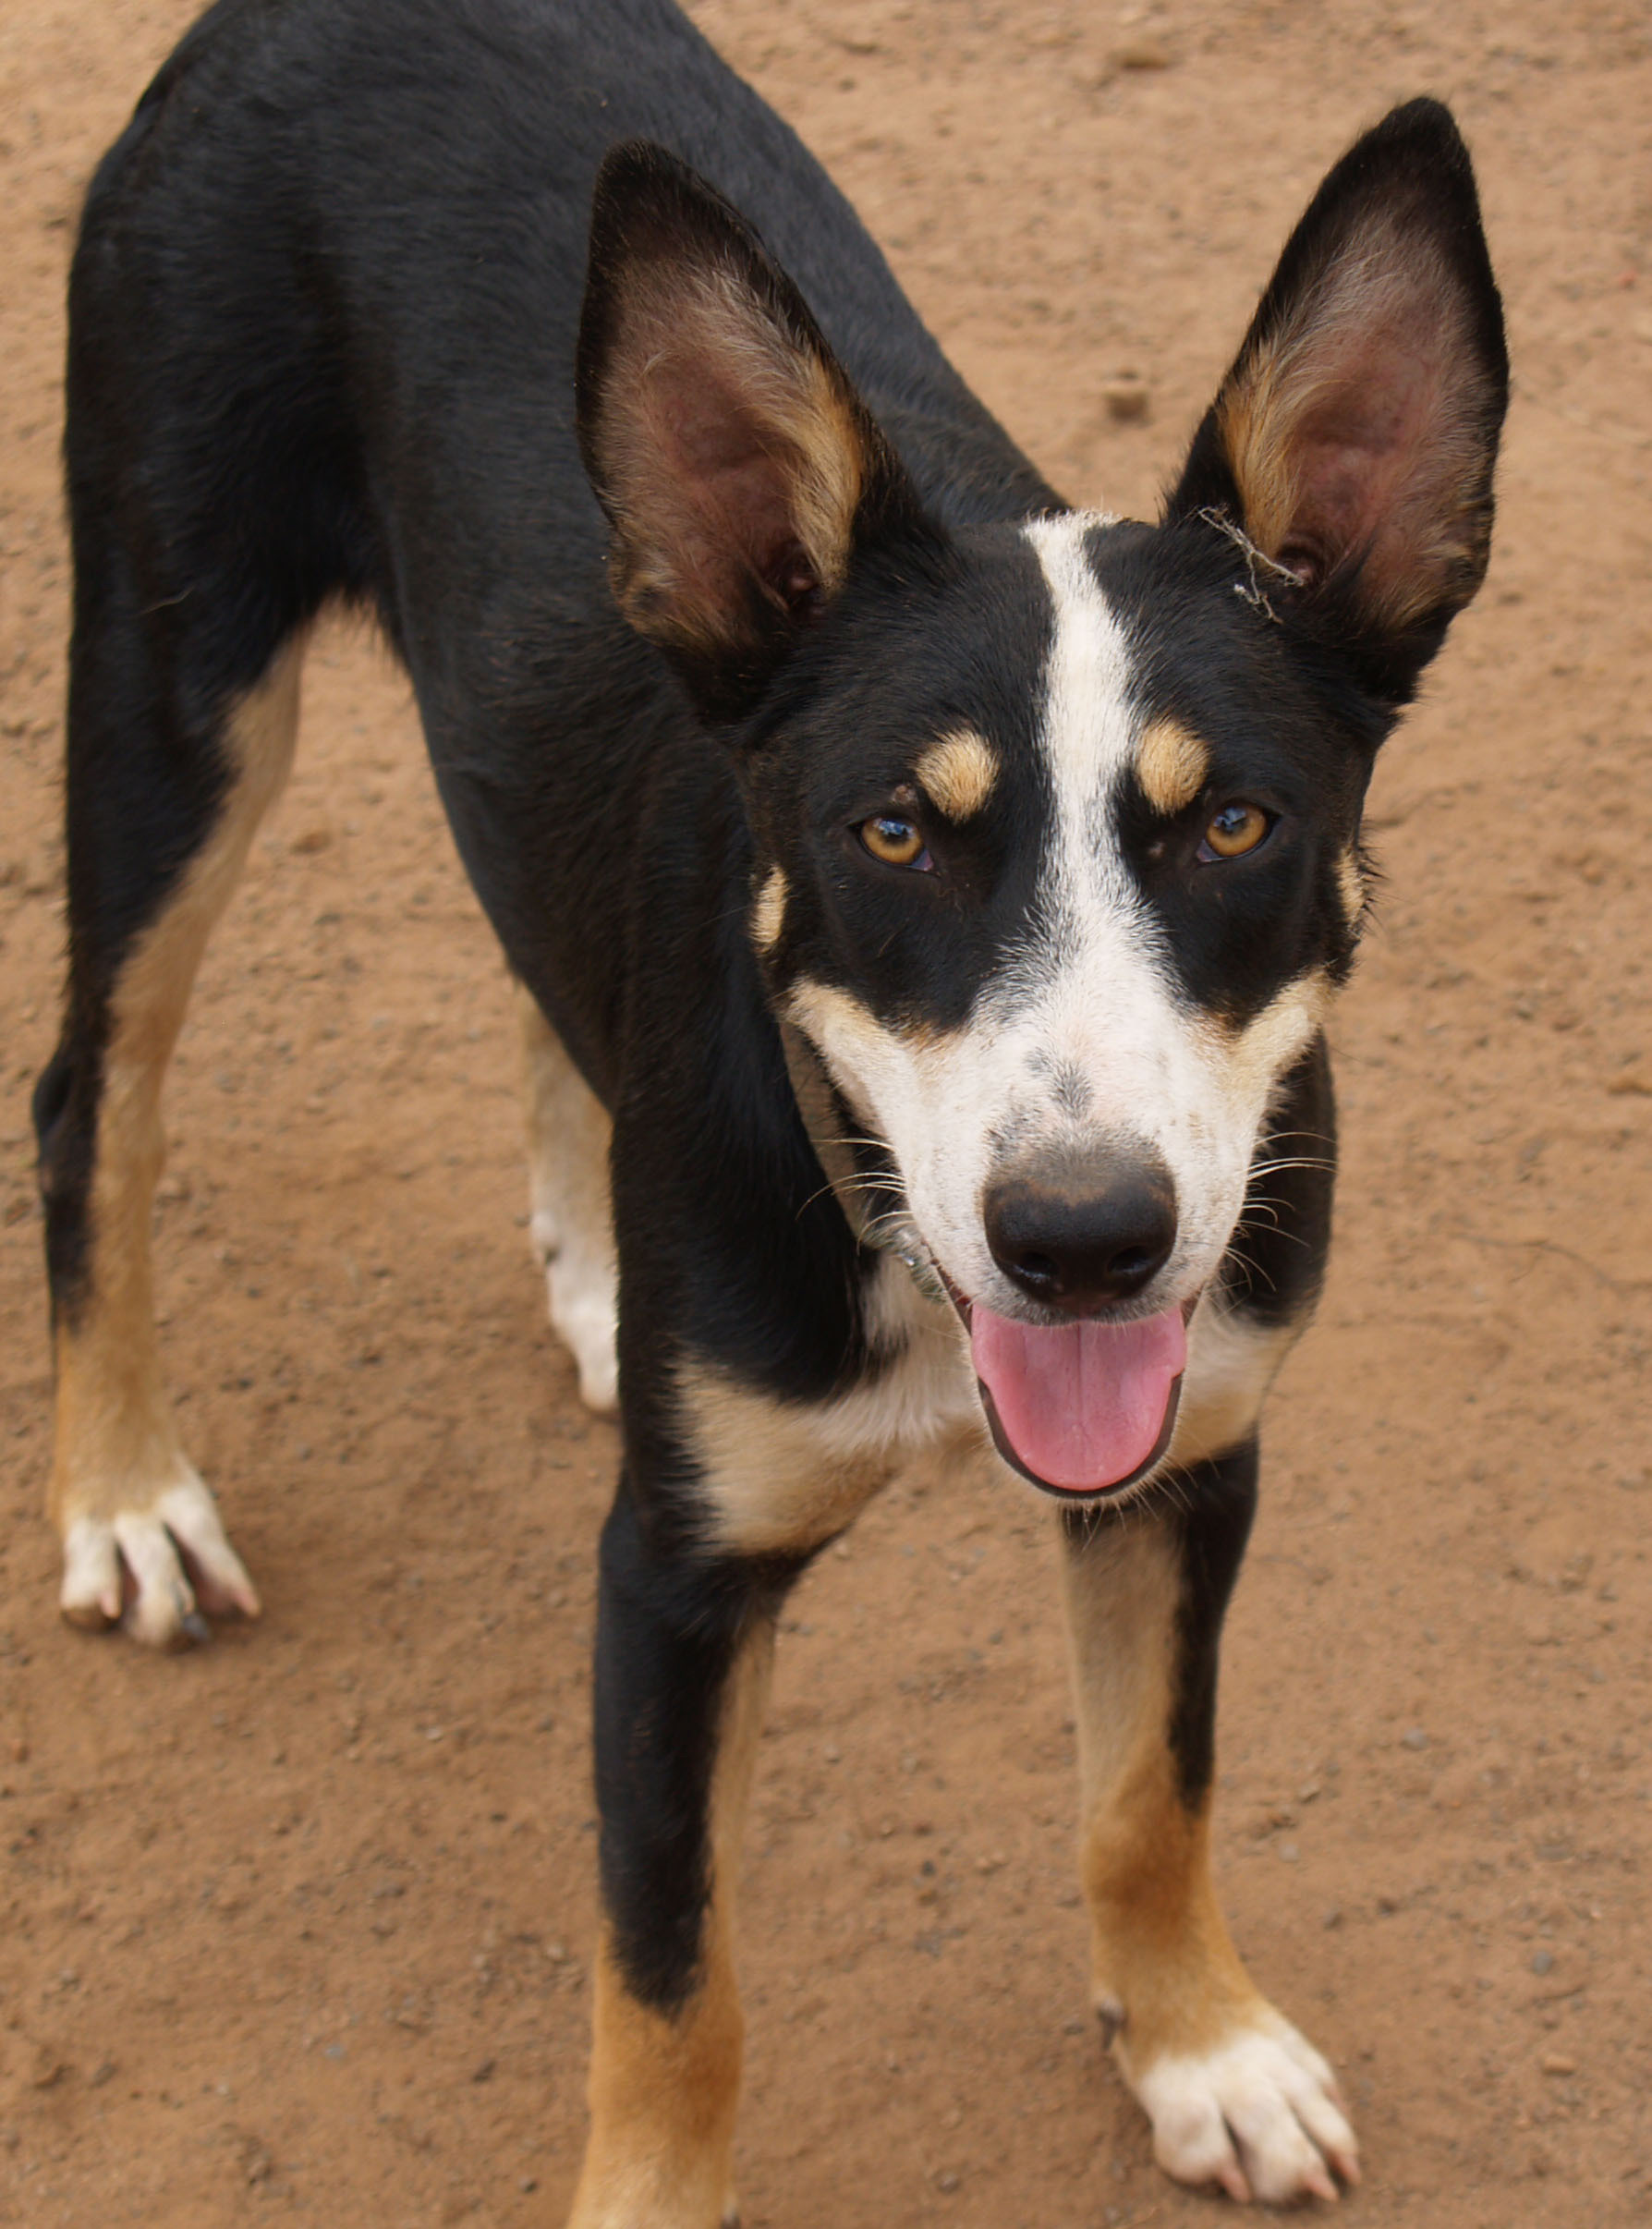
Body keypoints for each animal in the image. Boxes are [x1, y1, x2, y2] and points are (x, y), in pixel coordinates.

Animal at [35, 0, 1507, 2212]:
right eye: (894, 832)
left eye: (1233, 823)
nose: (1087, 1241)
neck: (886, 1232)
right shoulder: (671, 1581)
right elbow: (675, 1981)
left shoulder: (1193, 1462)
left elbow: (1146, 1796)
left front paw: (1199, 2047)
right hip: (172, 685)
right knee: (89, 1096)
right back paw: (126, 1490)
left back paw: (586, 1275)